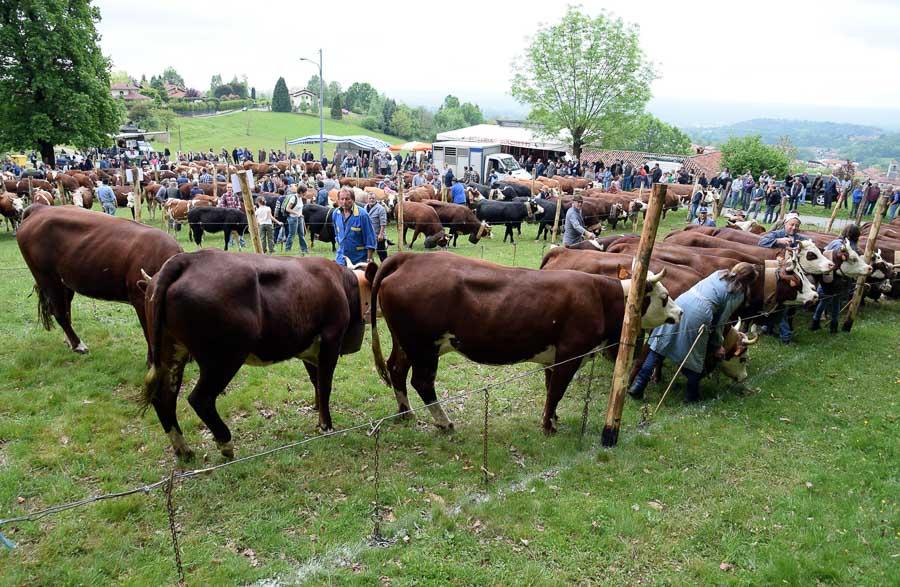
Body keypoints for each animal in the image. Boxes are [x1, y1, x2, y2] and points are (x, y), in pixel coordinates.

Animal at [144, 250, 376, 462]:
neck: (343, 284)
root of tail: (188, 258)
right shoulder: (331, 340)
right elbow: (325, 384)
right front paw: (326, 425)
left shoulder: (310, 347)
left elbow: (316, 381)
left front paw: (317, 409)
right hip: (223, 359)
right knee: (200, 399)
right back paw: (225, 444)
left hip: (171, 353)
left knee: (163, 397)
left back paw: (183, 449)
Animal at [368, 250, 684, 434]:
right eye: (665, 296)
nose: (680, 312)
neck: (600, 298)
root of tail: (410, 257)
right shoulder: (570, 354)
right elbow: (556, 391)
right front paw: (547, 426)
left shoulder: (554, 358)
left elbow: (550, 389)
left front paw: (552, 418)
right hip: (424, 347)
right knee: (422, 382)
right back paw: (443, 421)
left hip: (407, 343)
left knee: (396, 369)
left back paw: (405, 412)